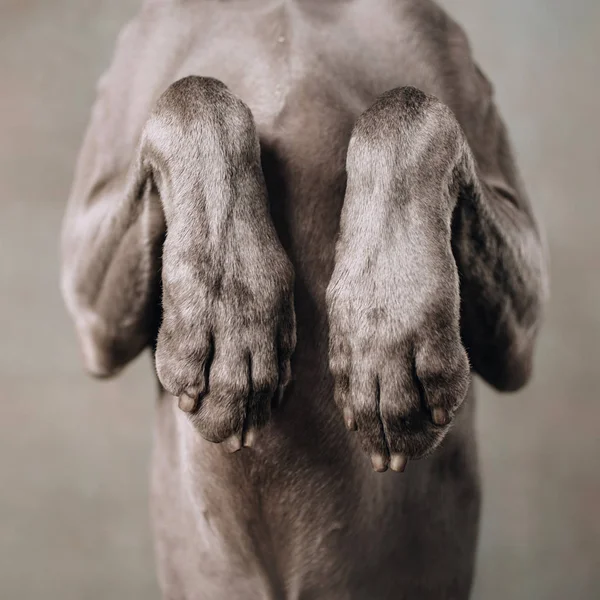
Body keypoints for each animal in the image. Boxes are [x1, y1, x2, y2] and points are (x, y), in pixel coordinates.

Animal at [59, 2, 548, 596]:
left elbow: (410, 108)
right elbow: (191, 93)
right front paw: (231, 325)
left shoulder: (521, 323)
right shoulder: (92, 310)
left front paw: (386, 336)